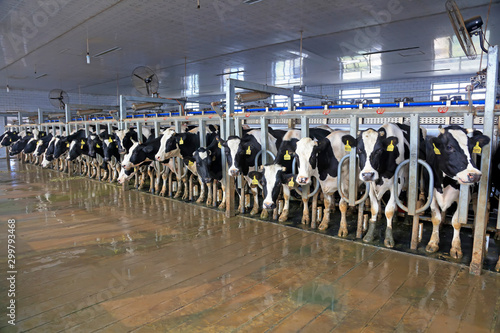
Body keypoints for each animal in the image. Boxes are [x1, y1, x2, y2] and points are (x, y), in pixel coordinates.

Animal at [424, 124, 490, 256]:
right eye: (449, 147)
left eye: (471, 147)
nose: (475, 175)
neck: (444, 183)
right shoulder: (430, 194)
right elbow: (436, 218)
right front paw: (433, 242)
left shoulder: (464, 198)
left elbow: (456, 221)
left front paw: (456, 247)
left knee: (478, 208)